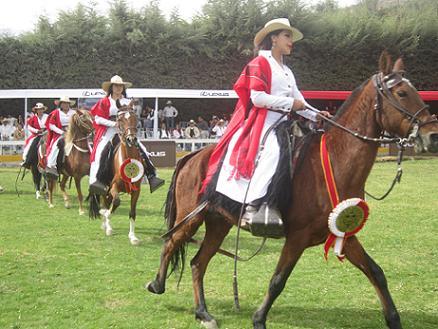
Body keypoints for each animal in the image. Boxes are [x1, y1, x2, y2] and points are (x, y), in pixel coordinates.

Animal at [88, 104, 143, 245]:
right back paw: (107, 225)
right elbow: (116, 202)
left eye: (135, 117)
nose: (131, 139)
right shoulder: (114, 187)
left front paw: (133, 237)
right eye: (120, 119)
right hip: (104, 187)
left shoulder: (136, 190)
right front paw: (106, 215)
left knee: (108, 201)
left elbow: (132, 212)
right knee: (106, 202)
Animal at [145, 51, 438, 328]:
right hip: (191, 218)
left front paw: (394, 319)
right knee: (170, 243)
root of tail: (193, 156)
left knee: (198, 263)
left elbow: (376, 272)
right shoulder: (297, 237)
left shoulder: (344, 232)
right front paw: (259, 319)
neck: (333, 163)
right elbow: (278, 280)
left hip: (219, 223)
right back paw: (158, 284)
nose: (432, 135)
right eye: (402, 93)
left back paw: (203, 313)